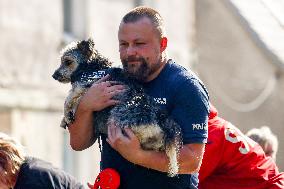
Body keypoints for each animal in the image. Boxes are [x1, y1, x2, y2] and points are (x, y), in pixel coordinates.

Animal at [51, 38, 182, 177]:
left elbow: (68, 100)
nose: (54, 75)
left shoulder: (84, 86)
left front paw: (67, 115)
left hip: (117, 115)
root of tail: (161, 122)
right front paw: (65, 118)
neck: (92, 66)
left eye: (67, 62)